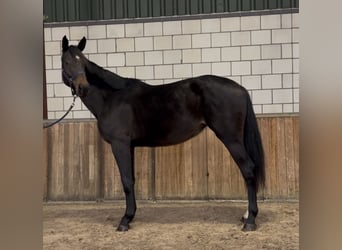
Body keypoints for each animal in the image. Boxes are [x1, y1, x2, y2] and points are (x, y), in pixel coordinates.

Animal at [60, 36, 264, 231]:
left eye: (83, 61)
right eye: (67, 61)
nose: (83, 88)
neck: (111, 97)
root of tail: (240, 89)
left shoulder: (120, 144)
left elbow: (126, 181)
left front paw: (125, 220)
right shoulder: (129, 146)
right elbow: (131, 179)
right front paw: (130, 216)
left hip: (231, 139)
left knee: (248, 169)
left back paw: (250, 221)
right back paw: (246, 215)